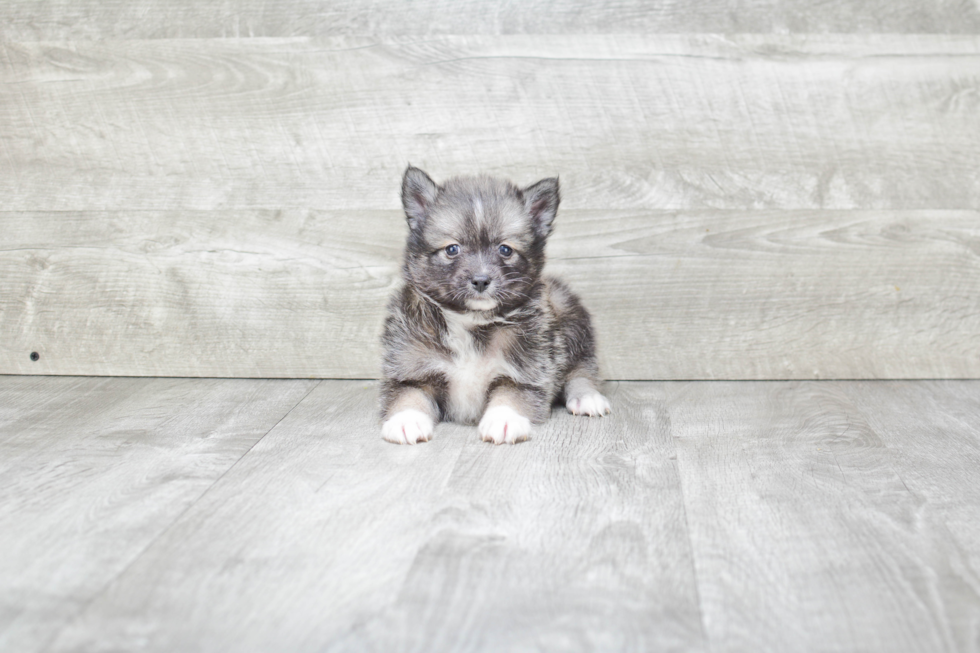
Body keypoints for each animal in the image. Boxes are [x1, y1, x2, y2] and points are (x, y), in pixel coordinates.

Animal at [378, 166, 608, 446]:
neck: (470, 321)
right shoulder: (409, 370)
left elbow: (510, 394)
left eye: (505, 249)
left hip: (570, 320)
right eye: (452, 249)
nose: (481, 280)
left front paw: (504, 419)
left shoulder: (526, 372)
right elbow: (408, 395)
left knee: (581, 369)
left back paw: (587, 397)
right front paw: (406, 420)